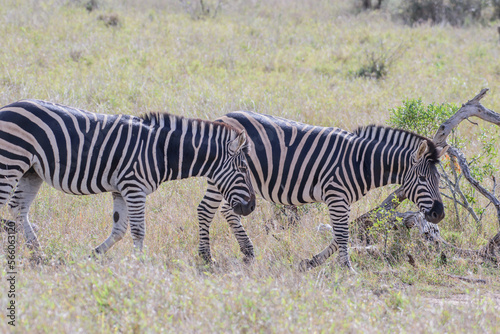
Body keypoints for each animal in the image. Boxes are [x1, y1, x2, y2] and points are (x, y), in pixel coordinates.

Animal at [0, 99, 256, 256]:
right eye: (243, 169)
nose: (252, 207)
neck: (161, 150)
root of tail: (7, 107)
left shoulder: (120, 190)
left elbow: (119, 229)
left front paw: (94, 255)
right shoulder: (134, 187)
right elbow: (138, 230)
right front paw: (139, 266)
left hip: (31, 171)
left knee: (18, 208)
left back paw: (38, 254)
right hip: (10, 162)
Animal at [197, 112, 448, 272]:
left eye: (438, 180)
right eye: (423, 179)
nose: (439, 214)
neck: (362, 162)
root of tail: (223, 117)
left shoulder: (343, 200)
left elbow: (340, 235)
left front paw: (310, 263)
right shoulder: (336, 196)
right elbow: (343, 234)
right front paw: (347, 270)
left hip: (232, 183)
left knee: (228, 212)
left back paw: (248, 252)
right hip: (224, 178)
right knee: (205, 210)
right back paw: (206, 258)